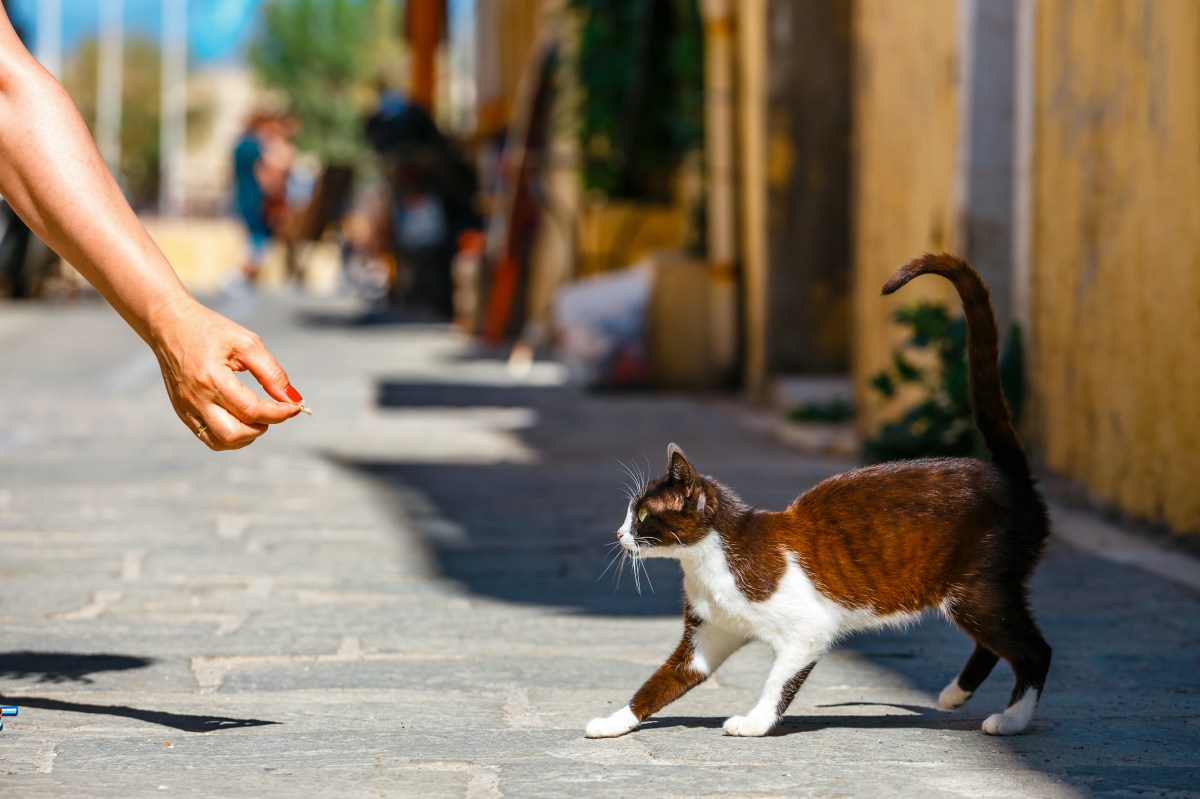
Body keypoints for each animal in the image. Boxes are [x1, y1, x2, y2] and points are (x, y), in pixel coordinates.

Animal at [588, 251, 1051, 739]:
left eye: (642, 516)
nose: (618, 534)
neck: (706, 563)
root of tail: (1008, 474)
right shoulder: (707, 637)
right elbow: (658, 683)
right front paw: (614, 722)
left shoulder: (807, 631)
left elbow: (777, 681)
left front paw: (754, 723)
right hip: (982, 594)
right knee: (998, 644)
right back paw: (954, 695)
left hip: (975, 588)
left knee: (1035, 650)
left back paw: (1012, 719)